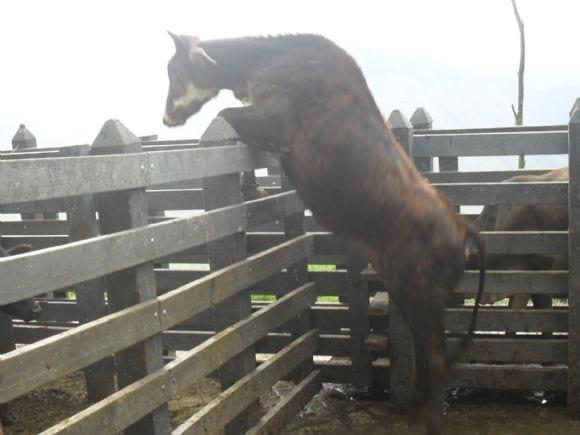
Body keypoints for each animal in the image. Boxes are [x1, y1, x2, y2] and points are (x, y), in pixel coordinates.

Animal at [162, 31, 484, 435]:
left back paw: (429, 421)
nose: (167, 117)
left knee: (438, 357)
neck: (266, 62)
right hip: (415, 292)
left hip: (419, 290)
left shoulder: (275, 121)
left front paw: (251, 186)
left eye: (175, 70)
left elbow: (226, 117)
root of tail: (462, 227)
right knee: (429, 351)